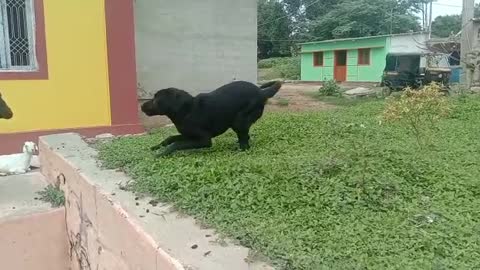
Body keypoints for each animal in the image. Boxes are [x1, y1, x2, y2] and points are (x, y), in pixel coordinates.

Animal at [141, 80, 282, 156]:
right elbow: (170, 139)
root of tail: (262, 92)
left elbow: (176, 144)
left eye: (155, 99)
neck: (186, 110)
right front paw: (156, 147)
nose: (141, 106)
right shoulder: (188, 135)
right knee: (245, 137)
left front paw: (161, 154)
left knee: (245, 144)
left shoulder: (204, 140)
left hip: (239, 121)